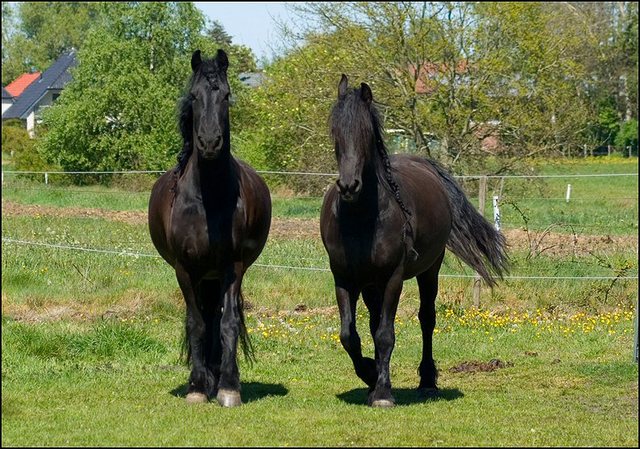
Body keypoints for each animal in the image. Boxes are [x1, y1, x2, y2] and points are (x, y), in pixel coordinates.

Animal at [149, 49, 272, 406]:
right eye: (194, 95)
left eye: (226, 95)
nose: (208, 142)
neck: (208, 198)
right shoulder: (185, 268)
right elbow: (197, 324)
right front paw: (196, 387)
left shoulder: (232, 266)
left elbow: (228, 323)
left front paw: (229, 387)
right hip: (204, 275)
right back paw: (207, 379)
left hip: (216, 274)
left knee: (220, 318)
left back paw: (218, 379)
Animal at [320, 76, 510, 406]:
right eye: (335, 131)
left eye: (366, 132)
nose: (348, 186)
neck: (361, 219)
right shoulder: (343, 278)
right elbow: (349, 335)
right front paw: (370, 374)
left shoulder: (393, 277)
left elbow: (386, 335)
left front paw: (383, 392)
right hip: (370, 285)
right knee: (374, 323)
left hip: (429, 271)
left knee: (426, 319)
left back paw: (427, 380)